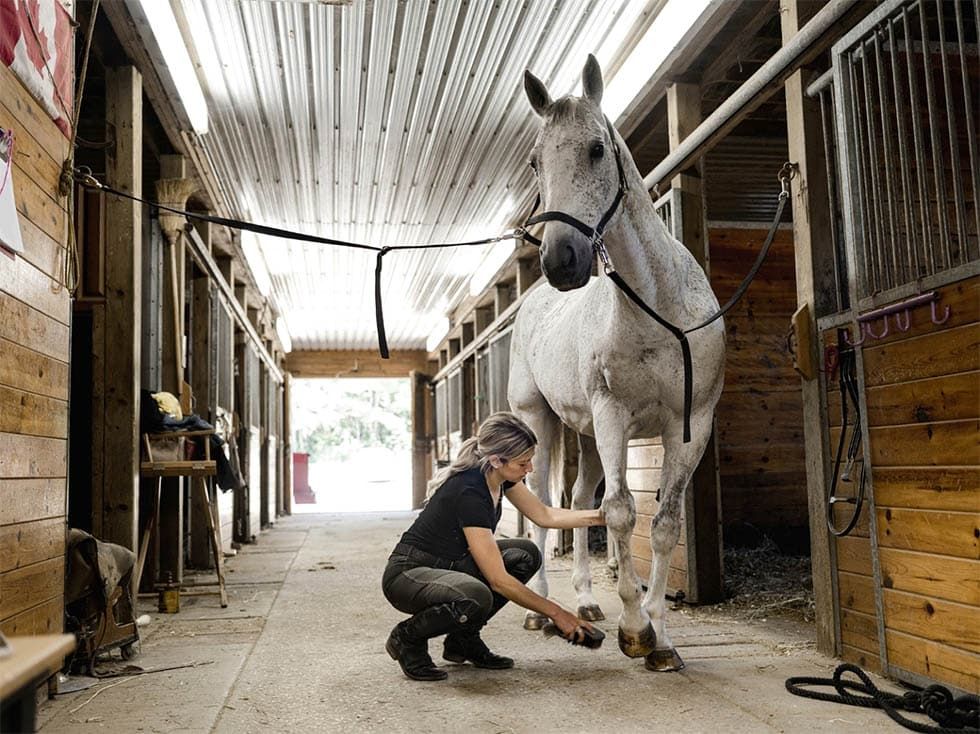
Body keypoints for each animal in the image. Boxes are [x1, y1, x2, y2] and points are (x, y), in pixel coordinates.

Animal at [507, 55, 726, 672]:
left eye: (596, 150)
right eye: (536, 161)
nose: (561, 259)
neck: (659, 309)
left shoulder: (690, 424)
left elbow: (664, 523)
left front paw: (662, 639)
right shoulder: (613, 416)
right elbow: (623, 512)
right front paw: (634, 628)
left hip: (584, 435)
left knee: (577, 501)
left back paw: (584, 601)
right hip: (542, 422)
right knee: (542, 500)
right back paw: (540, 609)